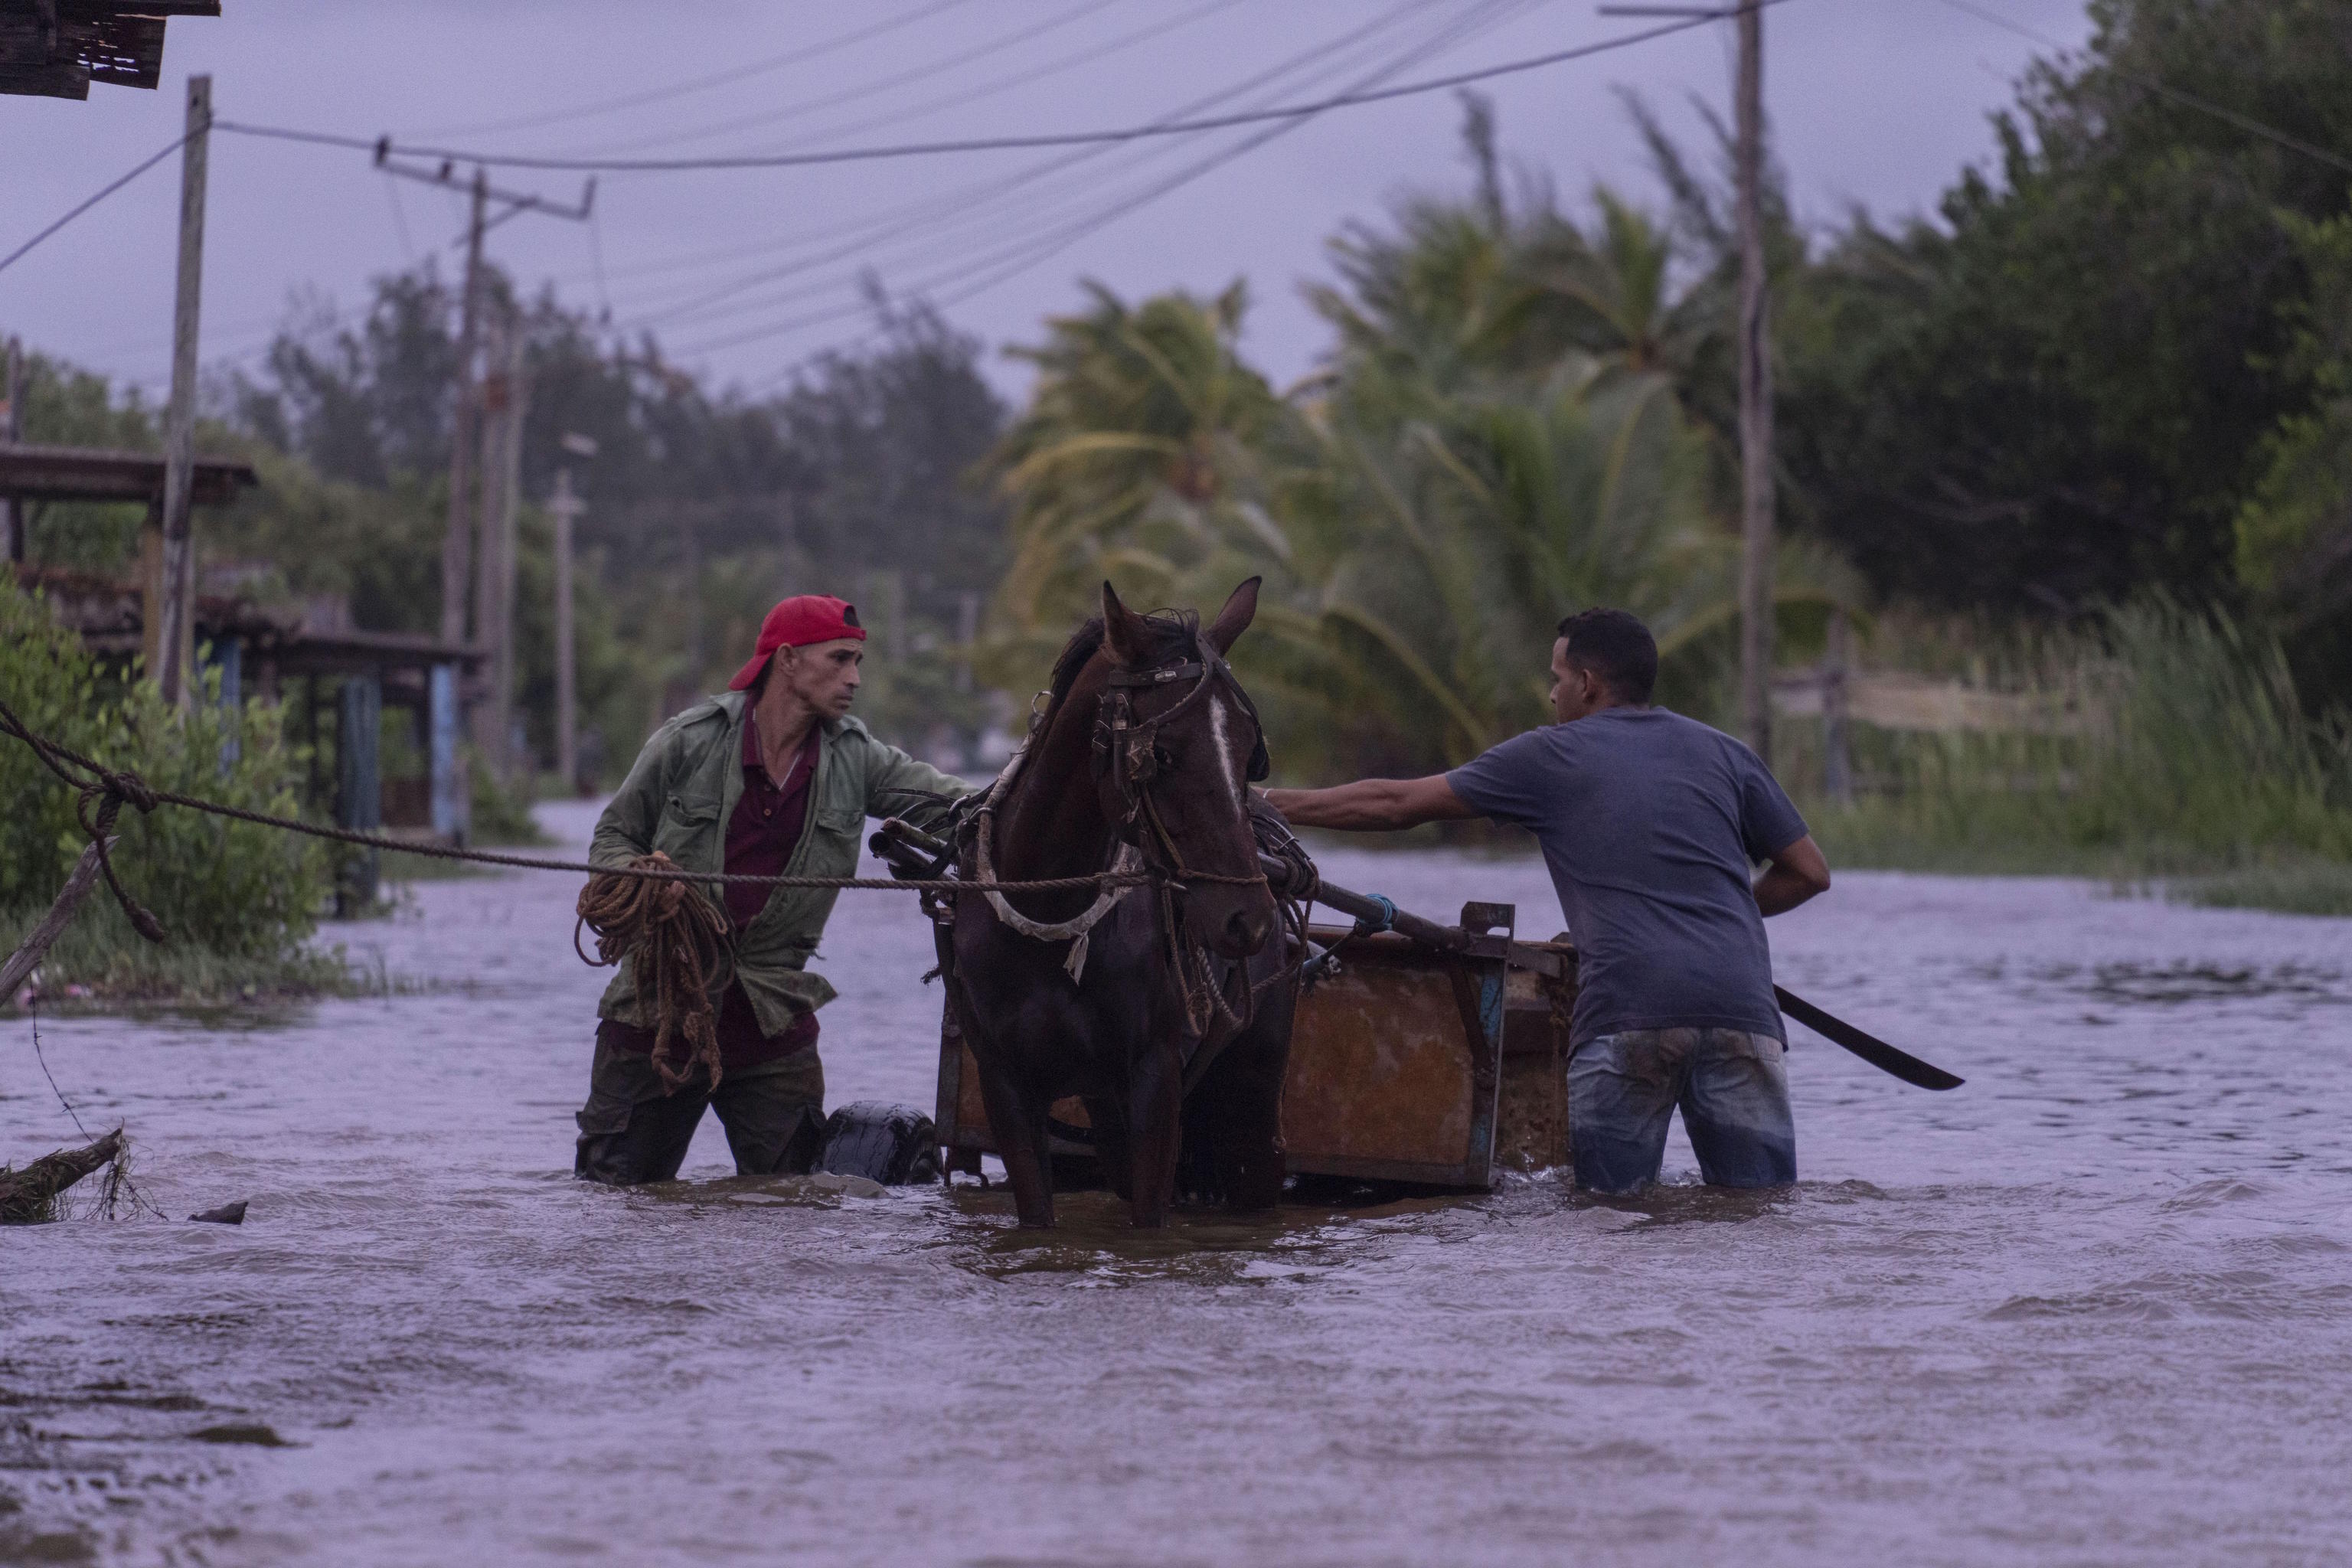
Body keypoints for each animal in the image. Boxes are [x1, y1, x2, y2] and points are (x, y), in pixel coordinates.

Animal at [940, 576, 1308, 1222]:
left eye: (1249, 753)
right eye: (1161, 755)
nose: (1249, 920)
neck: (1051, 911)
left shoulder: (1155, 1076)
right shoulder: (1005, 1084)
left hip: (1255, 1084)